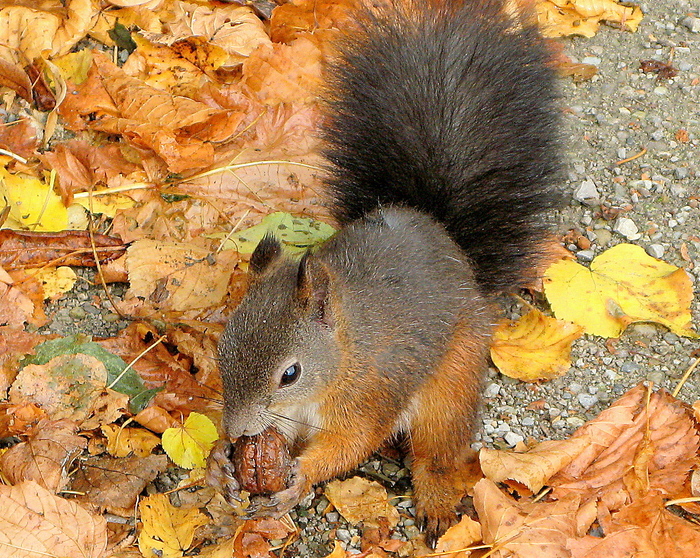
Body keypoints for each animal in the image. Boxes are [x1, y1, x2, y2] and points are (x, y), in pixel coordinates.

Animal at [208, 0, 564, 548]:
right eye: (221, 350)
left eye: (290, 373)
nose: (237, 431)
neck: (342, 356)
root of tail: (447, 241)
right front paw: (224, 466)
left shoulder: (370, 396)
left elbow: (353, 444)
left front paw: (297, 478)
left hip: (452, 382)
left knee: (438, 451)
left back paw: (435, 503)